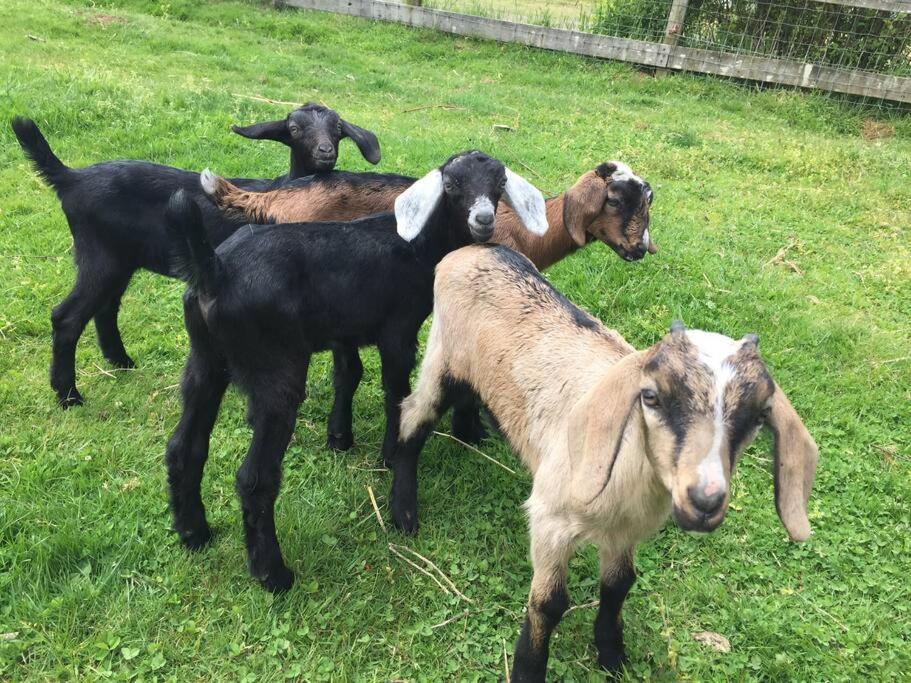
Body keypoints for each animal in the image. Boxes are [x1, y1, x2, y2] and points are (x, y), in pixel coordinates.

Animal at [8, 104, 378, 408]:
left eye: (338, 129)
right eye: (294, 128)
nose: (325, 151)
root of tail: (71, 178)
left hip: (119, 259)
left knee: (105, 308)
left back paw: (120, 362)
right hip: (100, 255)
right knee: (67, 317)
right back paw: (68, 394)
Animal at [163, 150, 548, 592]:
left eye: (499, 183)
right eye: (450, 185)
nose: (483, 219)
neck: (419, 247)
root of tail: (213, 270)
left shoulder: (347, 331)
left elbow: (349, 374)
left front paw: (343, 439)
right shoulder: (398, 330)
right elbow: (394, 390)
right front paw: (389, 456)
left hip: (206, 360)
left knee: (185, 448)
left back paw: (194, 534)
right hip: (277, 368)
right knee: (254, 478)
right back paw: (274, 574)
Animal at [390, 244, 820, 680]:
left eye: (758, 417)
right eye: (651, 397)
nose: (704, 500)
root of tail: (475, 249)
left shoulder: (624, 531)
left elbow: (619, 584)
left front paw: (613, 656)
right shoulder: (549, 519)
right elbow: (549, 603)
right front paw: (528, 668)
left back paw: (471, 434)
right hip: (442, 355)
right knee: (413, 418)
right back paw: (402, 512)